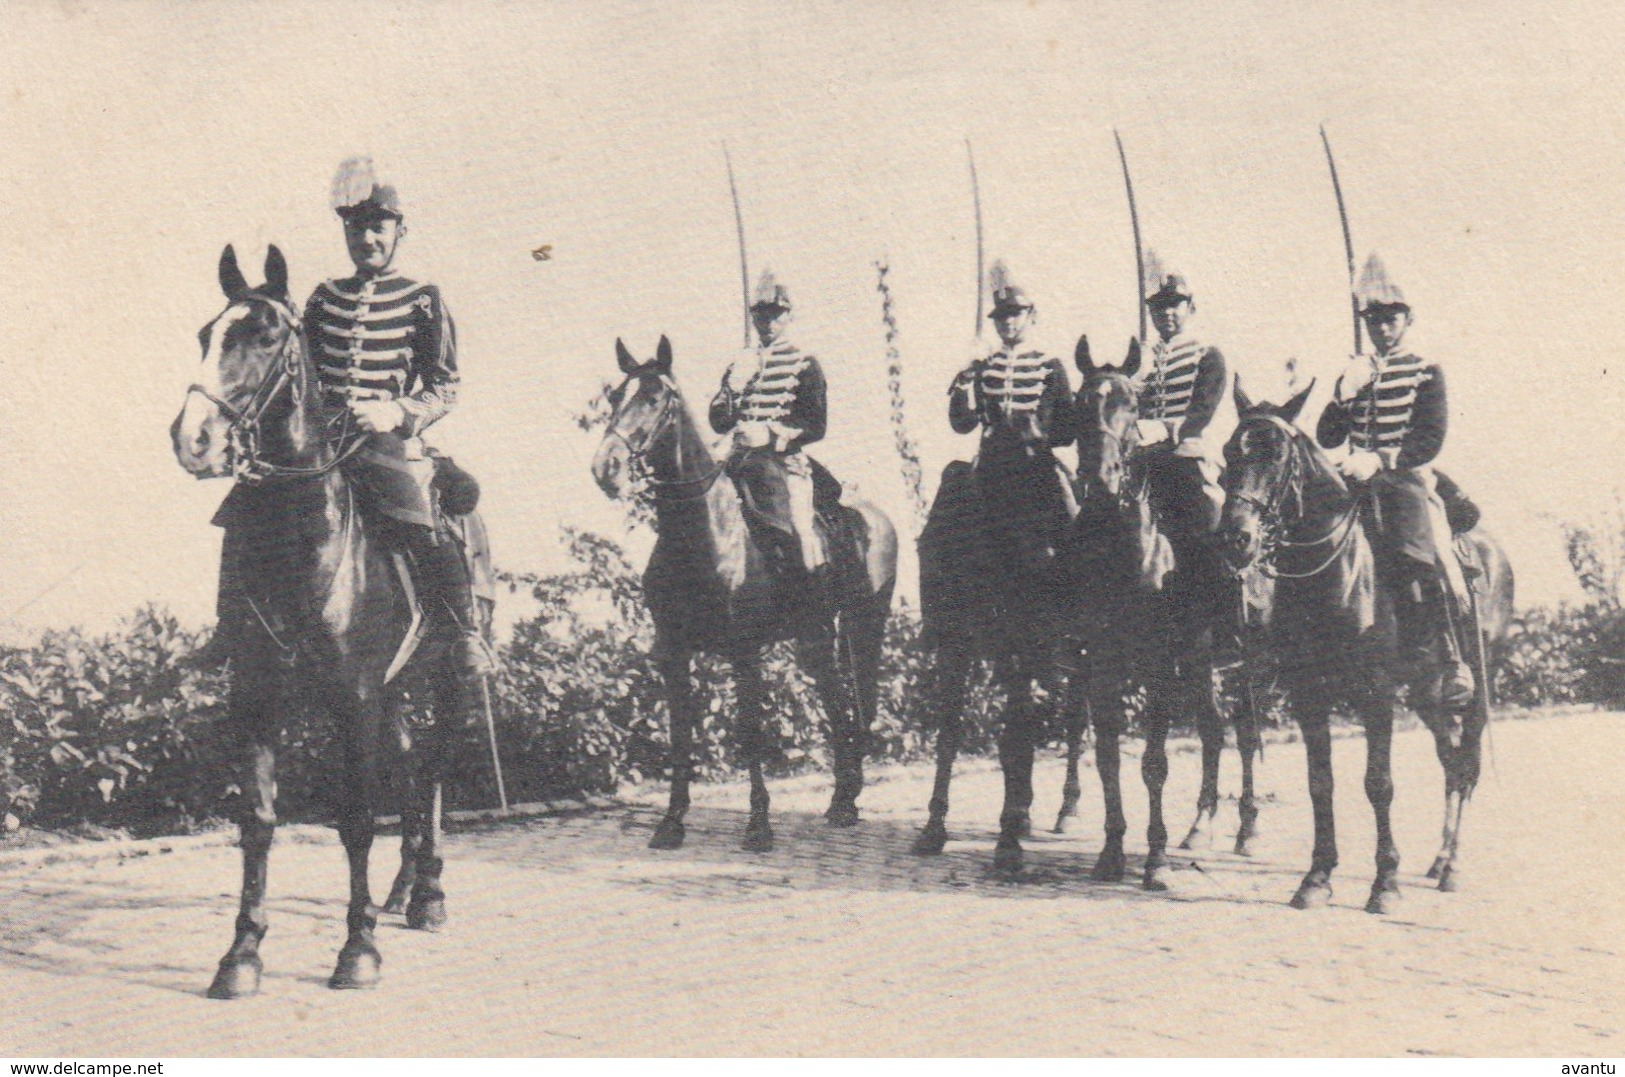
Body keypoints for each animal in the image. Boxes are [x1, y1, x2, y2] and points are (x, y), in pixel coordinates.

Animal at [175, 246, 487, 1000]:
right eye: (206, 334)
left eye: (263, 335)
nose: (193, 440)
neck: (301, 543)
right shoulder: (258, 695)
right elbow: (258, 821)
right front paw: (242, 953)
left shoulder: (354, 697)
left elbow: (355, 818)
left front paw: (358, 948)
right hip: (396, 688)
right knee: (410, 769)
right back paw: (402, 888)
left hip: (444, 678)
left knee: (433, 769)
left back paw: (428, 894)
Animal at [594, 337, 903, 851]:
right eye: (617, 396)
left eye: (655, 398)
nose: (606, 468)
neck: (704, 531)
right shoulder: (673, 652)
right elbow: (681, 735)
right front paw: (672, 821)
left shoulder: (744, 650)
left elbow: (750, 731)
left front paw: (759, 823)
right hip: (815, 634)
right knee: (836, 700)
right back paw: (843, 797)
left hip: (864, 623)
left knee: (858, 702)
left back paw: (846, 801)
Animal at [1066, 341, 1267, 890]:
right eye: (1079, 402)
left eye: (1132, 404)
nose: (1101, 478)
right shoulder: (1102, 659)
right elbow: (1108, 755)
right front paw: (1111, 850)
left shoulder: (1157, 662)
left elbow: (1154, 762)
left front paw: (1154, 859)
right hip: (1202, 660)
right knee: (1214, 728)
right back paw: (1200, 827)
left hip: (1242, 660)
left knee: (1245, 732)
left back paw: (1246, 830)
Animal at [1222, 378, 1508, 909]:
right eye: (1230, 452)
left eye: (1276, 455)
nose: (1237, 538)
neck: (1339, 570)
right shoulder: (1308, 693)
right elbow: (1320, 783)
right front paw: (1316, 877)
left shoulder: (1376, 691)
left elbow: (1379, 783)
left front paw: (1385, 882)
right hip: (1426, 690)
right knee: (1450, 758)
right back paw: (1438, 859)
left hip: (1480, 682)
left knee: (1467, 762)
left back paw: (1452, 865)